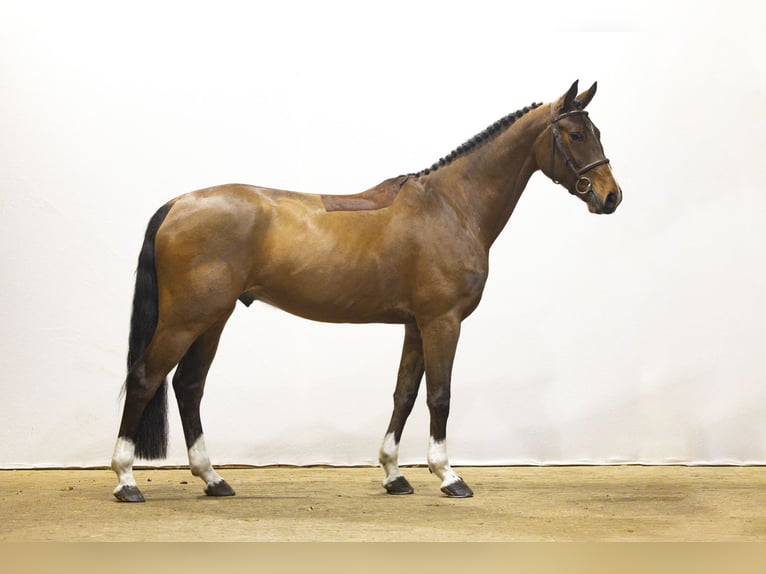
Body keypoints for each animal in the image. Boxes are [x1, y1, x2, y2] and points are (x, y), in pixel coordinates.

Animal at [111, 80, 622, 502]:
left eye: (595, 130)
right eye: (576, 134)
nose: (611, 196)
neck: (451, 206)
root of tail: (178, 204)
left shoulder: (416, 324)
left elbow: (405, 394)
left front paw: (395, 475)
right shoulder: (442, 321)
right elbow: (439, 395)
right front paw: (449, 476)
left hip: (213, 319)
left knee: (188, 386)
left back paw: (213, 479)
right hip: (186, 319)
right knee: (145, 380)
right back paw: (127, 481)